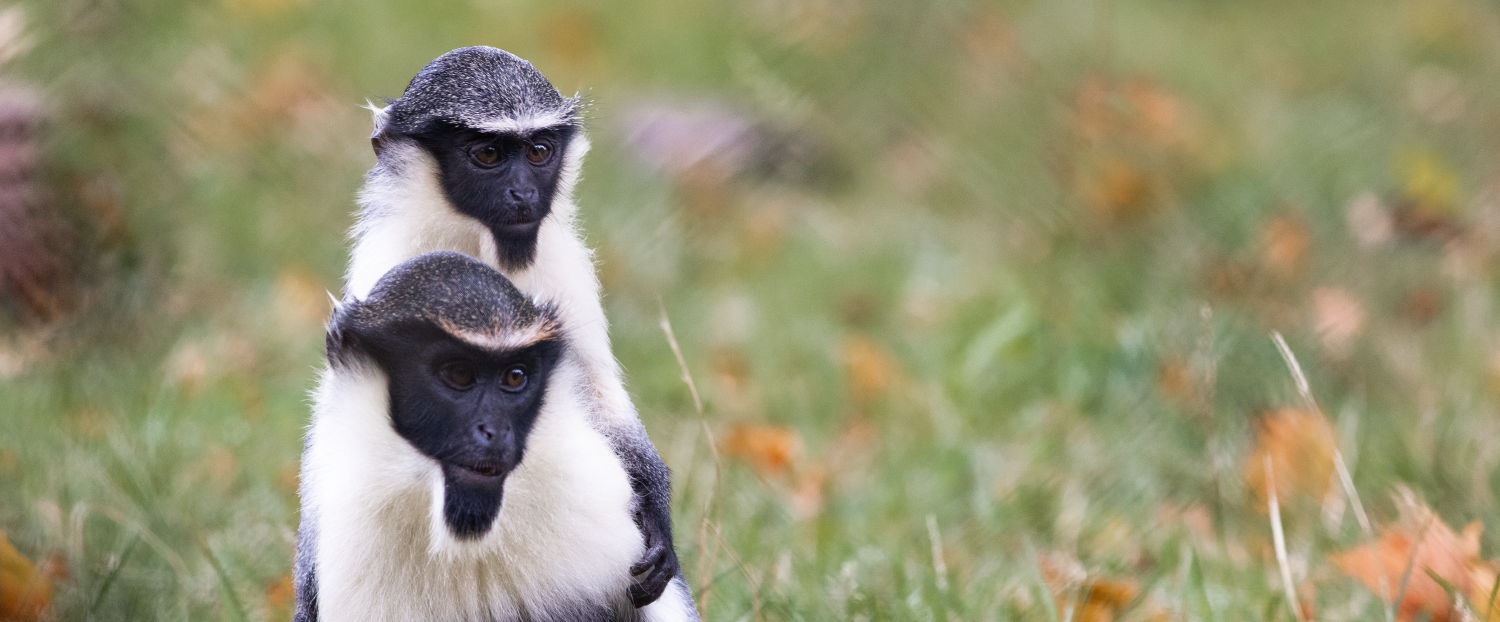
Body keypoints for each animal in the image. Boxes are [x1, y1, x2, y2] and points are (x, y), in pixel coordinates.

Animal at [336, 46, 683, 609]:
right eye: (488, 154)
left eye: (539, 151)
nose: (523, 193)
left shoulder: (563, 265)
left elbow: (591, 386)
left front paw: (655, 510)